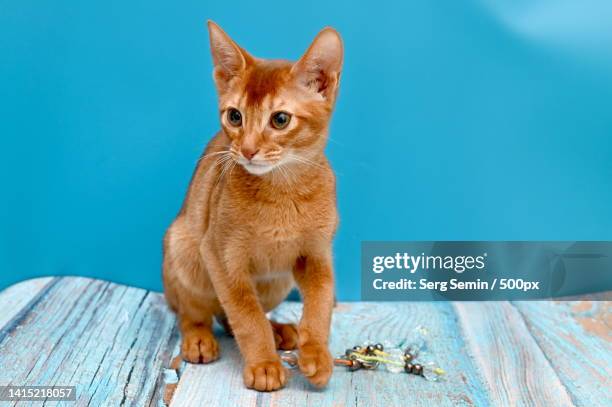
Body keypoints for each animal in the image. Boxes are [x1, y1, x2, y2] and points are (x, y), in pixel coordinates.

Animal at [163, 21, 342, 392]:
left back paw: (281, 331)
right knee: (197, 312)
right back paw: (198, 339)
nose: (246, 150)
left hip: (277, 281)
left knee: (231, 315)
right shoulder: (221, 256)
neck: (283, 192)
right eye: (235, 116)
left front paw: (317, 353)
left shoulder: (317, 255)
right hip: (184, 249)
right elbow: (246, 315)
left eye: (280, 119)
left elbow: (320, 305)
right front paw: (263, 364)